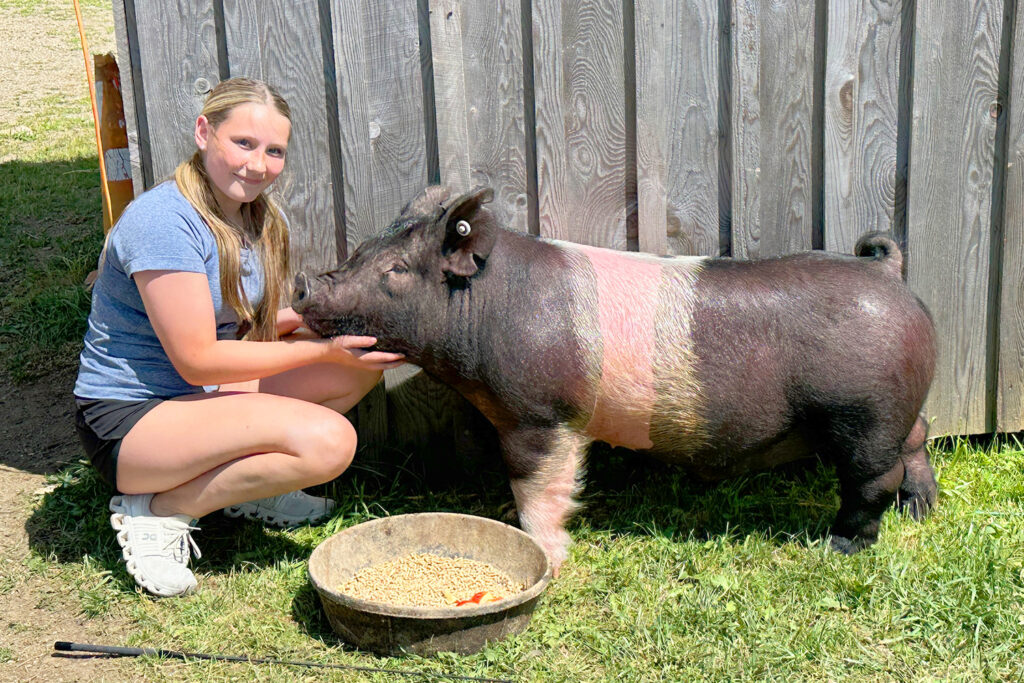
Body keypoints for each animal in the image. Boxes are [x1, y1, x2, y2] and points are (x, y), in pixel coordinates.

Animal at [293, 185, 937, 574]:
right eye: (363, 250)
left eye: (397, 269)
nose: (302, 282)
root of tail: (887, 271)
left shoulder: (540, 416)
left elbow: (537, 486)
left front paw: (547, 560)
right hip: (894, 410)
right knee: (919, 439)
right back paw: (921, 512)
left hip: (862, 412)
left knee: (873, 476)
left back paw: (840, 544)